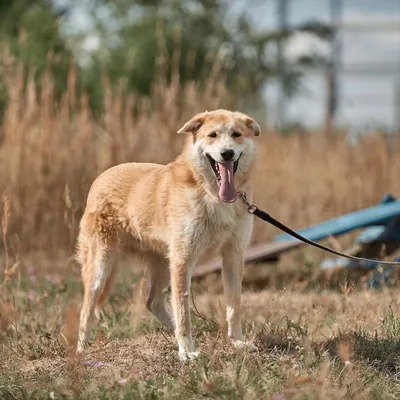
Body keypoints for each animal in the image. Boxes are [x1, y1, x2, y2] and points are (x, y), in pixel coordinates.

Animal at [76, 108, 260, 360]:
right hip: (101, 267)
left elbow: (234, 305)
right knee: (86, 309)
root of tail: (100, 178)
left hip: (164, 262)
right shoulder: (183, 258)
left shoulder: (233, 255)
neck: (211, 193)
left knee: (152, 302)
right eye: (212, 135)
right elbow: (182, 307)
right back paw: (80, 350)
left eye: (237, 134)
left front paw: (238, 342)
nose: (227, 153)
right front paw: (187, 350)